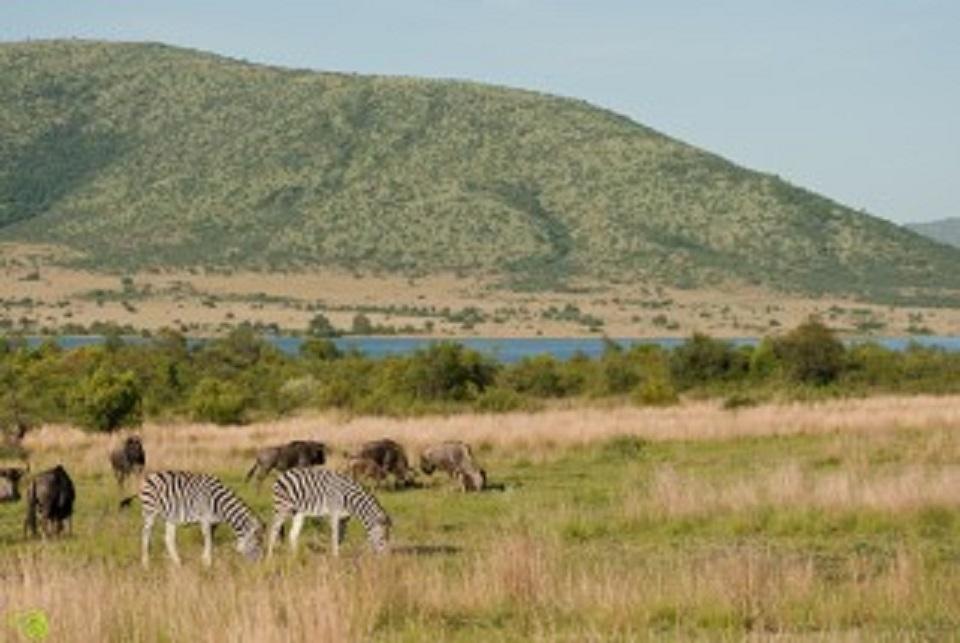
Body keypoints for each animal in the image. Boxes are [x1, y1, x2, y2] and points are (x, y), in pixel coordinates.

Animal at [124, 468, 268, 568]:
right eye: (257, 545)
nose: (260, 567)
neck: (219, 504)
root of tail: (149, 476)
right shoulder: (204, 519)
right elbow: (208, 540)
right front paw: (207, 562)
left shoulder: (214, 523)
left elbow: (211, 540)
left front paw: (207, 560)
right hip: (150, 511)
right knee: (145, 535)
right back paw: (146, 564)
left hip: (171, 516)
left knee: (168, 539)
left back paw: (178, 563)